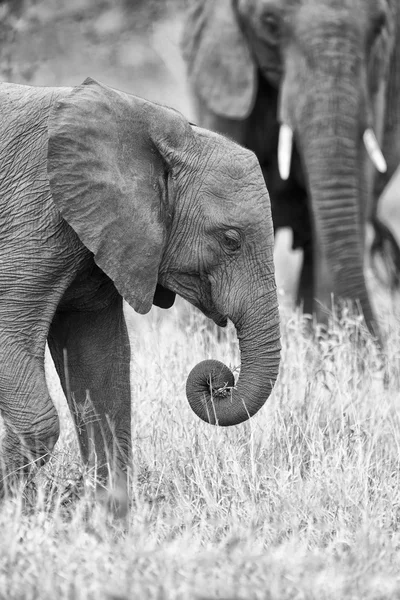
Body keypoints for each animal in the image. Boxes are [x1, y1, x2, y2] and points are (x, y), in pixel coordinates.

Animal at [0, 76, 282, 516]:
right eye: (231, 240)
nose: (219, 382)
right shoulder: (30, 216)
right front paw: (18, 515)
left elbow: (101, 366)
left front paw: (107, 519)